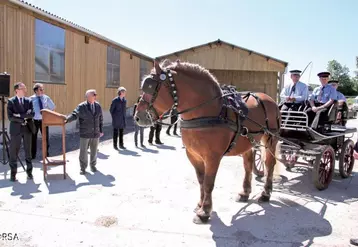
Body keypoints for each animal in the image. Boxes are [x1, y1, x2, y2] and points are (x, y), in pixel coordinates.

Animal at [133, 59, 282, 224]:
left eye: (151, 86)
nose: (138, 117)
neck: (209, 112)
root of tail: (270, 99)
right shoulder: (193, 155)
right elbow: (201, 181)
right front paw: (200, 204)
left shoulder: (212, 157)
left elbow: (209, 183)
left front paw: (204, 212)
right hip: (248, 142)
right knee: (248, 165)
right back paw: (244, 192)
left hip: (271, 139)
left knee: (269, 164)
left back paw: (266, 193)